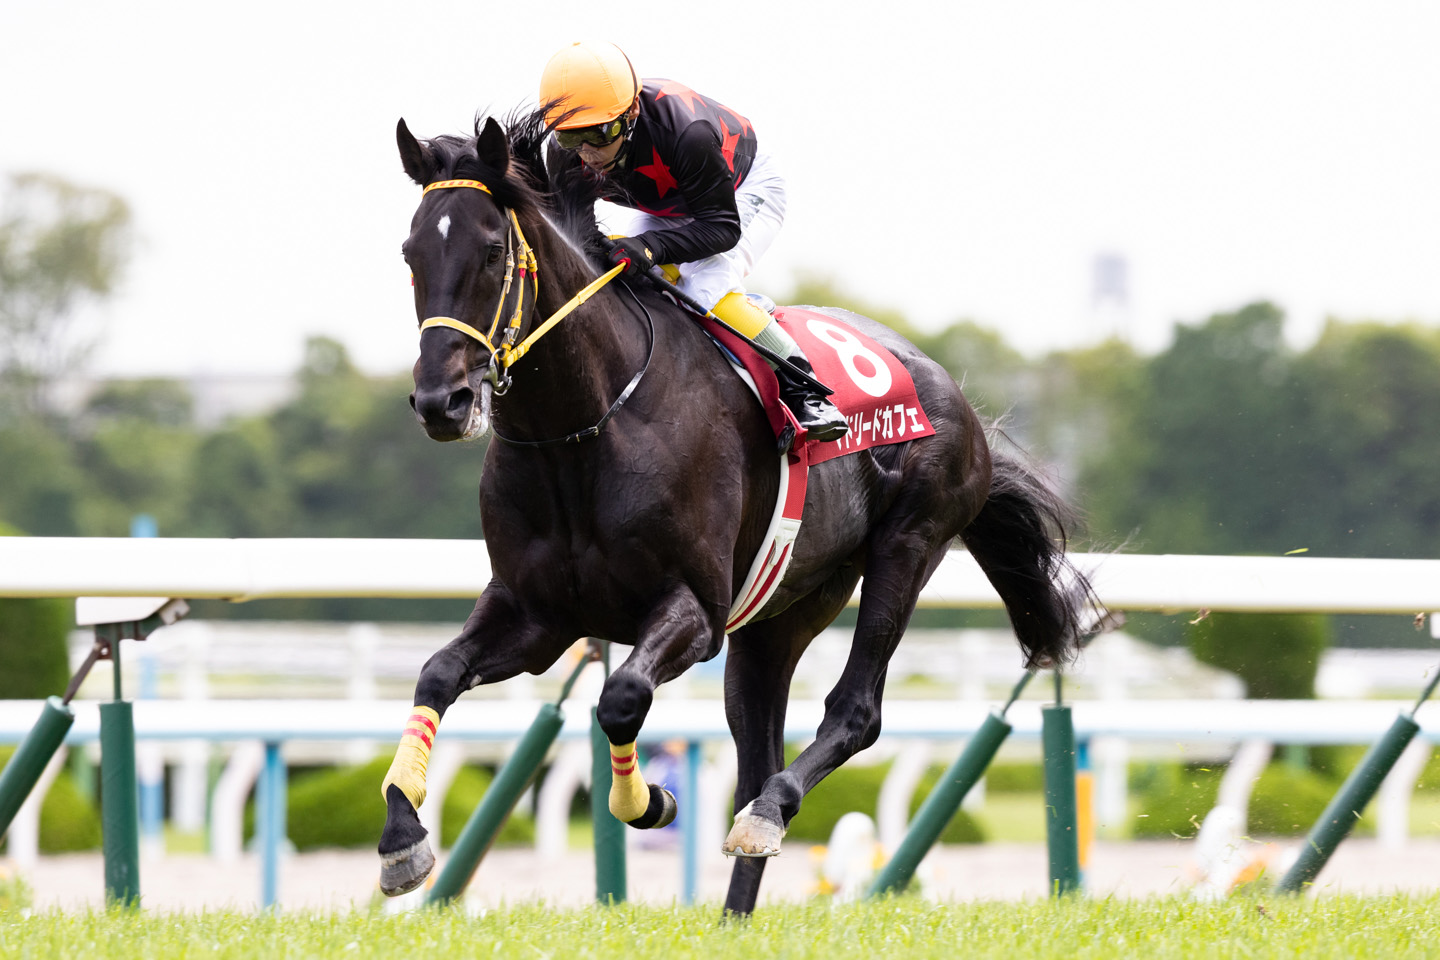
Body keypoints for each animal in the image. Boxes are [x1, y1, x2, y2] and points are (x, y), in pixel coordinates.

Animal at [377, 108, 1094, 915]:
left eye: (494, 250)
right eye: (410, 251)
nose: (441, 402)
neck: (586, 426)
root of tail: (957, 395)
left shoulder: (695, 609)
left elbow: (622, 696)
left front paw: (647, 801)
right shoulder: (537, 615)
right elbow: (437, 673)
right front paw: (402, 839)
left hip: (909, 544)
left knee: (853, 713)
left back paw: (765, 814)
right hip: (781, 614)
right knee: (757, 754)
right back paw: (735, 905)